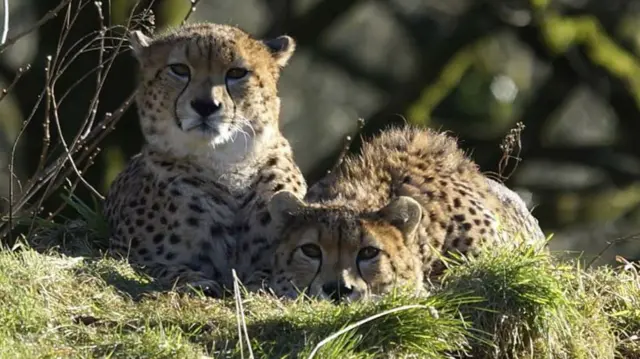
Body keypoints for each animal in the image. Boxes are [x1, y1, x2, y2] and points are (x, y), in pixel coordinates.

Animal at [102, 23, 304, 298]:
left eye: (237, 73)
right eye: (179, 69)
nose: (206, 105)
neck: (226, 162)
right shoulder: (122, 251)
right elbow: (163, 267)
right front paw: (196, 281)